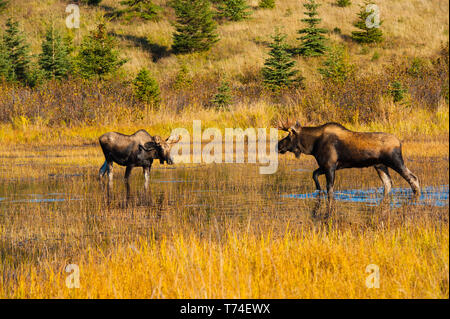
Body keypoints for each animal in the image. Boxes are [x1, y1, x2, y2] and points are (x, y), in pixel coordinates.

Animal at [276, 120, 420, 200]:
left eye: (288, 136)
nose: (278, 145)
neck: (312, 146)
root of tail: (400, 143)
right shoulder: (326, 166)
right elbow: (314, 174)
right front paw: (318, 190)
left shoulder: (330, 165)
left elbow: (330, 188)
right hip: (380, 165)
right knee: (388, 183)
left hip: (395, 161)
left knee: (413, 178)